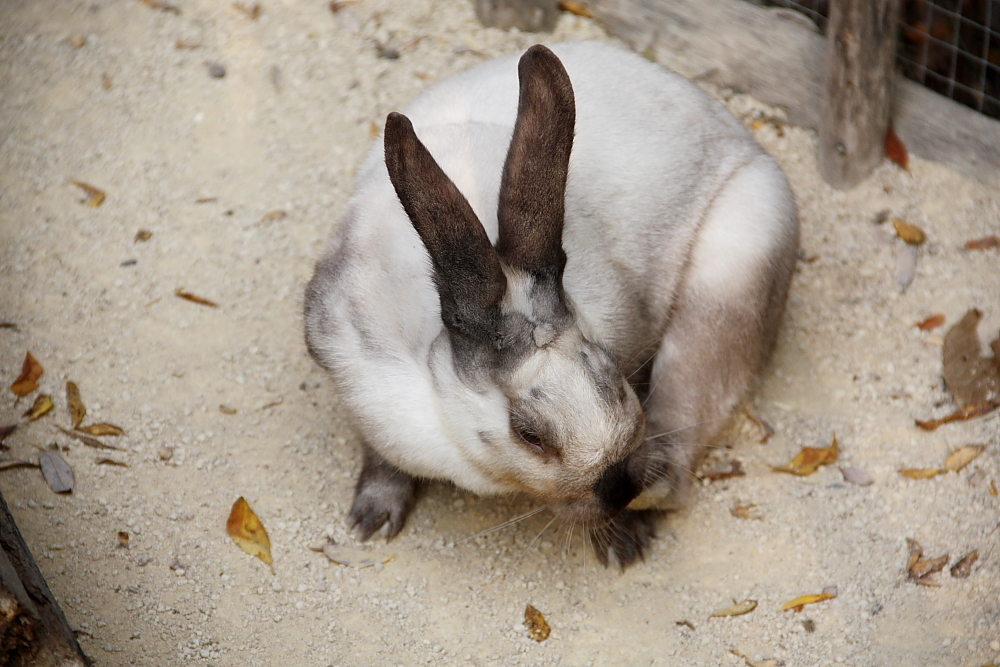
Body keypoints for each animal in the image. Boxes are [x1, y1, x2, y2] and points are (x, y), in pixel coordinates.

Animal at [302, 40, 796, 568]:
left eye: (613, 368)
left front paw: (622, 539)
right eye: (529, 434)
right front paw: (371, 521)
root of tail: (744, 139)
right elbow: (379, 456)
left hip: (735, 278)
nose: (618, 490)